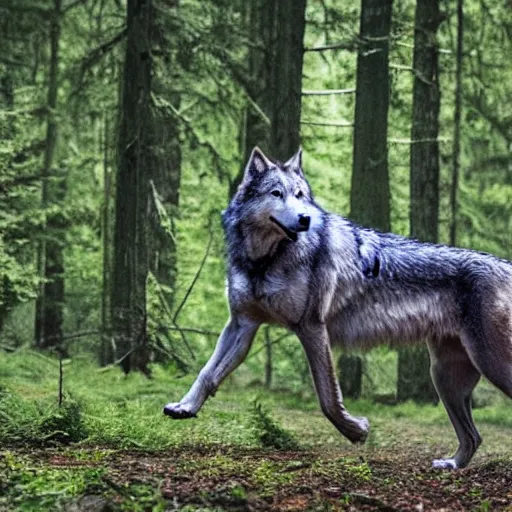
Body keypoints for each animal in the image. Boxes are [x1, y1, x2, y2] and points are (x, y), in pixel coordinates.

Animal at [165, 146, 512, 470]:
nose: (304, 219)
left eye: (300, 196)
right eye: (276, 193)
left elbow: (327, 397)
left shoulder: (311, 328)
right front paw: (184, 407)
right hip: (445, 379)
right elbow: (207, 373)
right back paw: (451, 465)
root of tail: (505, 265)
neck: (265, 260)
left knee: (477, 431)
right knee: (473, 437)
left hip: (487, 366)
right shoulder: (242, 324)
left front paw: (356, 430)